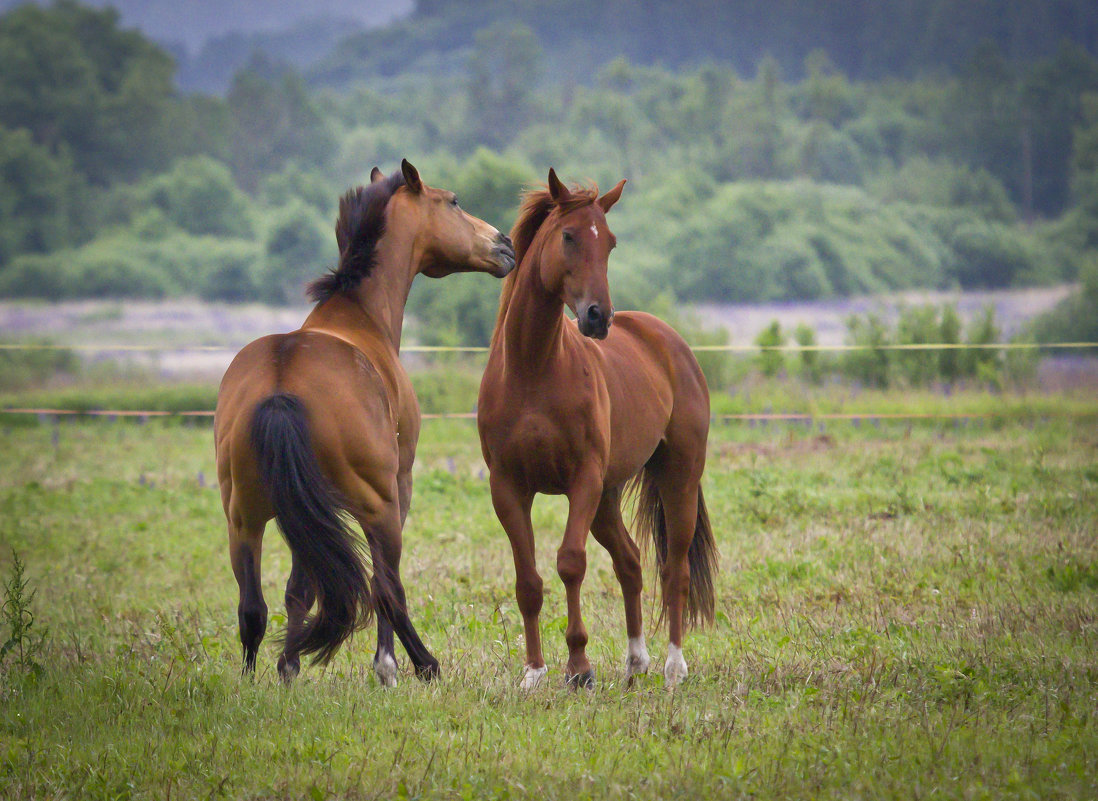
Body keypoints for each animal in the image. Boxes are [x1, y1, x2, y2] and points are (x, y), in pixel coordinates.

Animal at [218, 159, 518, 684]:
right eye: (454, 201)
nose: (505, 245)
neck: (359, 316)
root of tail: (281, 387)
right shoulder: (399, 487)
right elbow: (382, 584)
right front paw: (386, 665)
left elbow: (298, 591)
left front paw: (289, 665)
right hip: (377, 506)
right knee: (387, 589)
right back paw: (421, 664)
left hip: (245, 518)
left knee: (252, 609)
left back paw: (254, 680)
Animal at [476, 168, 715, 684]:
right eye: (568, 236)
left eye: (610, 242)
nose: (598, 317)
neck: (533, 368)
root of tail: (670, 342)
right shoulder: (508, 487)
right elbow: (528, 580)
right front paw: (534, 672)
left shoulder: (581, 480)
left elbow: (570, 563)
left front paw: (579, 667)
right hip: (607, 498)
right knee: (631, 562)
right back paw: (635, 661)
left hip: (678, 478)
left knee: (675, 570)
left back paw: (674, 666)